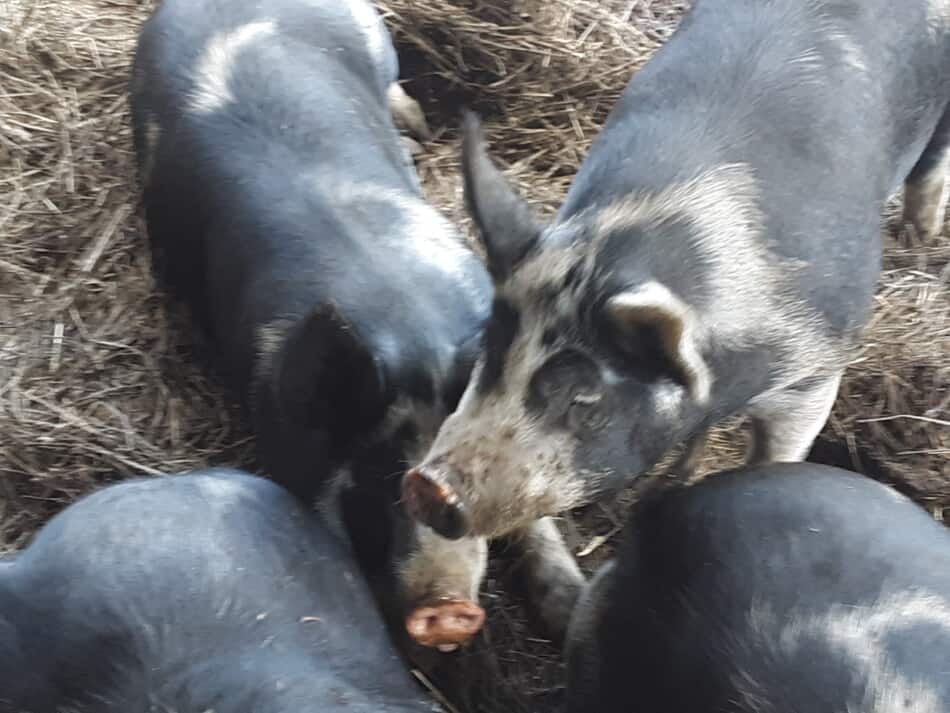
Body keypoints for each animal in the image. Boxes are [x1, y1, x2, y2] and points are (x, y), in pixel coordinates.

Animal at [404, 0, 950, 632]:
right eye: (489, 353)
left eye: (585, 398)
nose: (428, 485)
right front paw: (570, 600)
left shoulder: (816, 370)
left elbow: (777, 454)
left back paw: (921, 238)